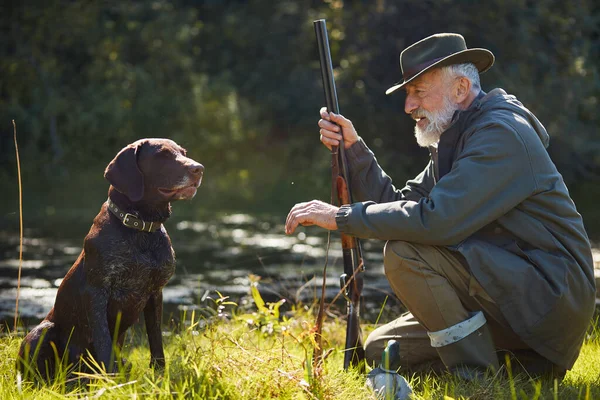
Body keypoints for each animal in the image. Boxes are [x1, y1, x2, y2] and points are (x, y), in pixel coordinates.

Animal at [17, 139, 203, 380]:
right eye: (162, 155)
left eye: (183, 153)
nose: (199, 169)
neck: (140, 229)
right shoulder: (97, 292)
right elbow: (104, 342)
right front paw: (110, 380)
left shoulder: (155, 293)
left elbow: (156, 341)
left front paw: (160, 375)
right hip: (42, 331)